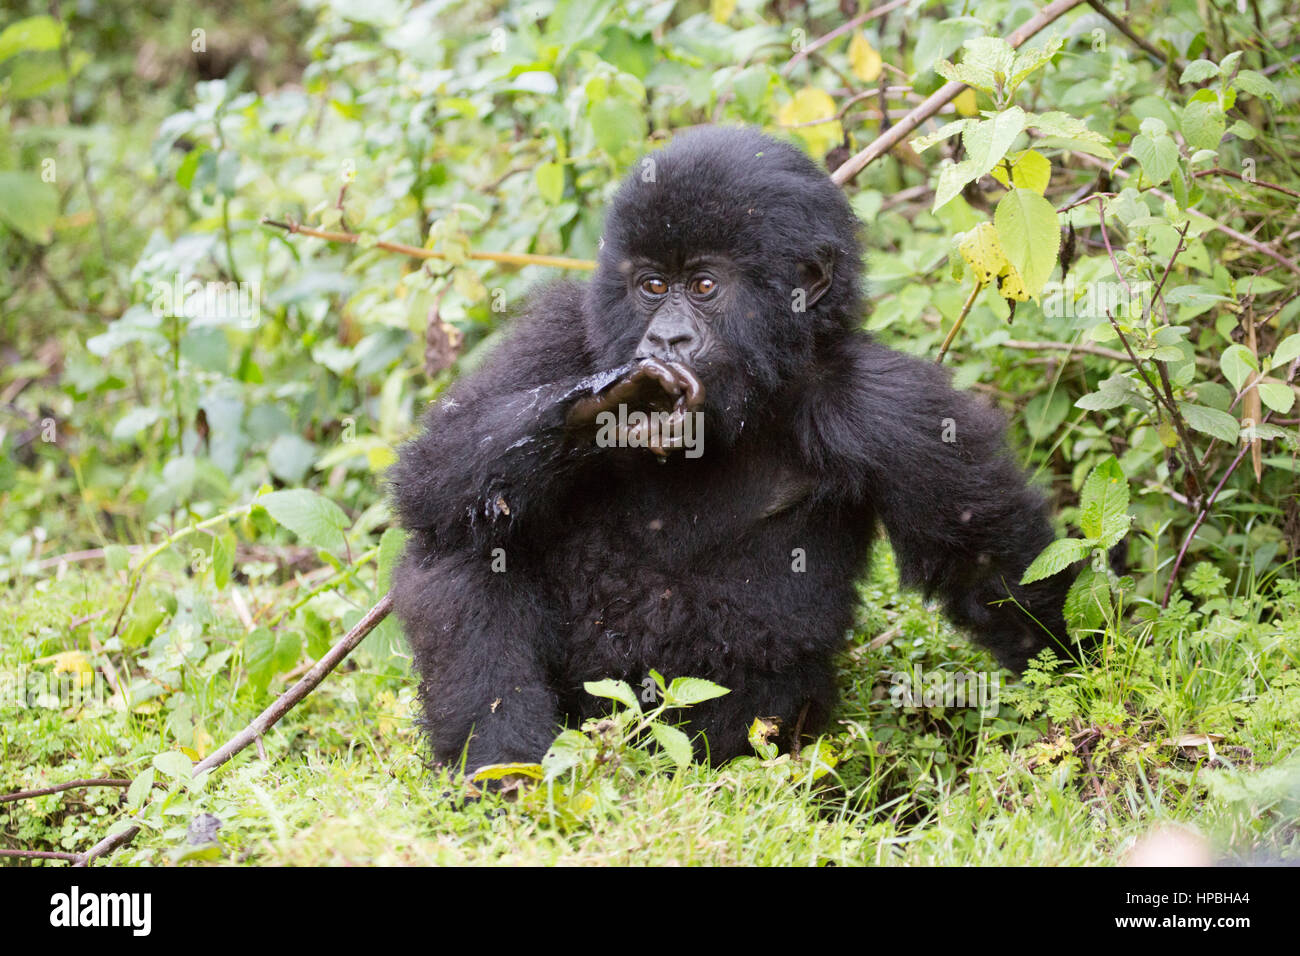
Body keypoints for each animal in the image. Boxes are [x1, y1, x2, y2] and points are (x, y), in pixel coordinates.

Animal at [392, 127, 1076, 770]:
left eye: (703, 285)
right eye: (652, 284)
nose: (665, 338)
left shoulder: (891, 405)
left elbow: (988, 565)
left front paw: (1072, 676)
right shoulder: (563, 325)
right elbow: (434, 467)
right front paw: (606, 403)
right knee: (463, 541)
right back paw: (505, 767)